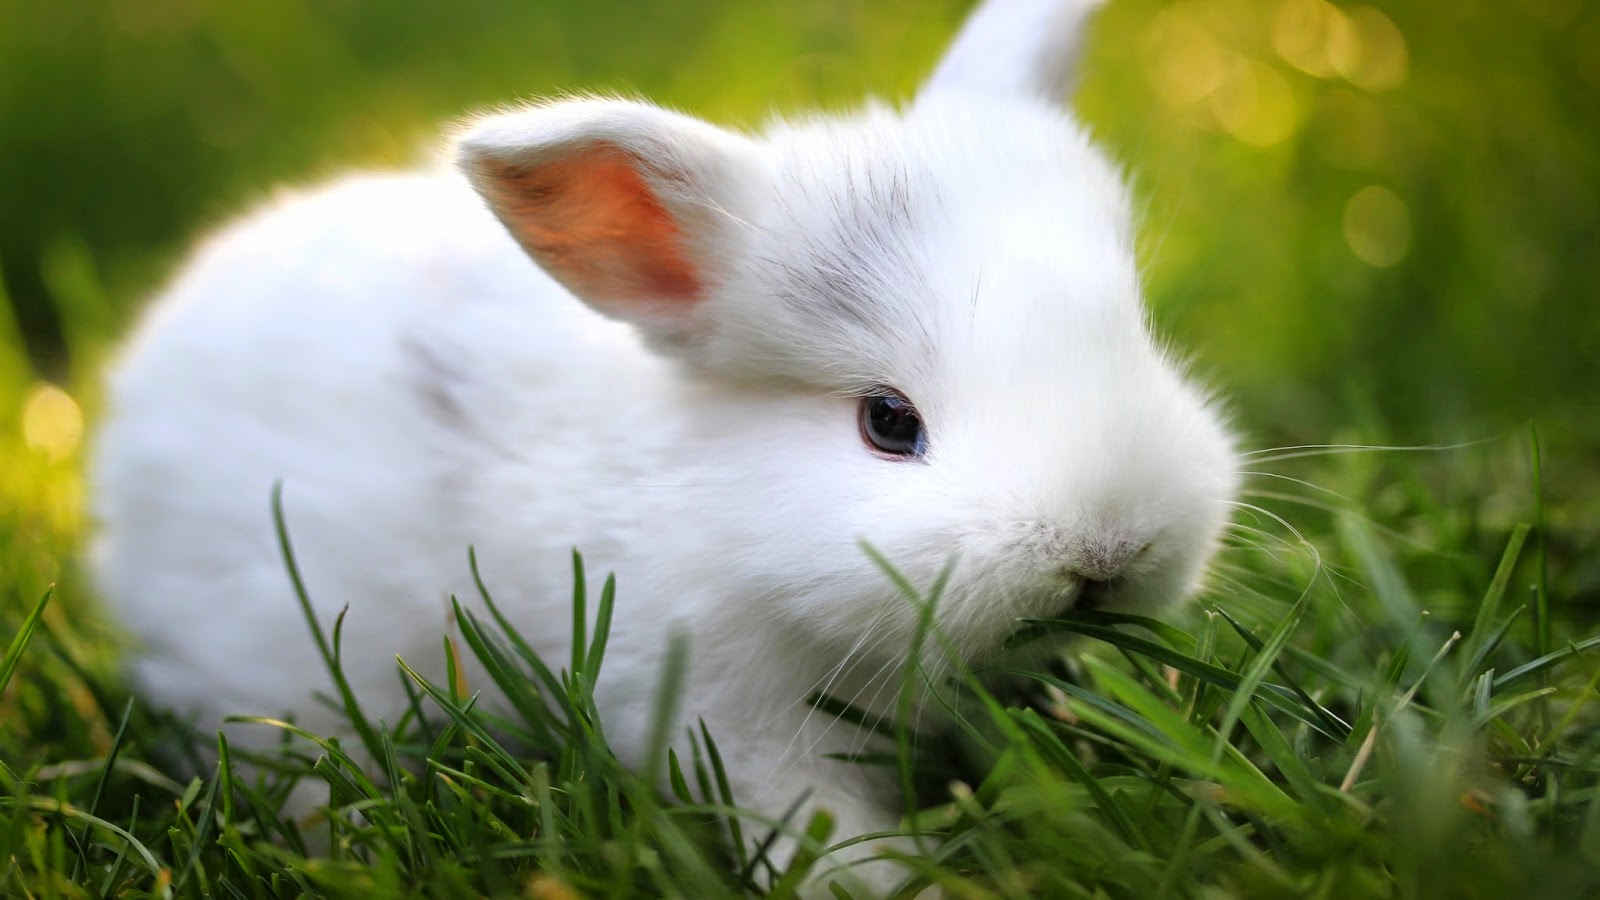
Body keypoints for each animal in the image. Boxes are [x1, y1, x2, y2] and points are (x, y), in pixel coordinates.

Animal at [90, 0, 1239, 894]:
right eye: (887, 422)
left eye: (1135, 335)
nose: (1106, 550)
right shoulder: (723, 717)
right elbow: (815, 827)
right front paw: (887, 883)